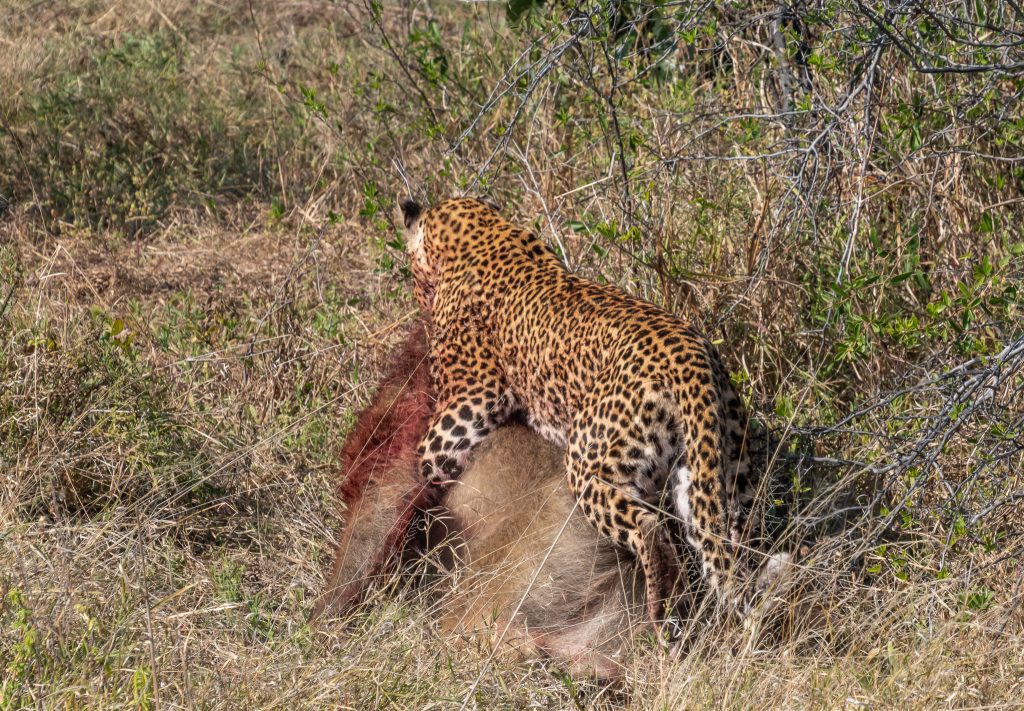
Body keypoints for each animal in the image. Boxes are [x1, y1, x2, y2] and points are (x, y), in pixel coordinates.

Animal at [401, 196, 776, 643]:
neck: (484, 232)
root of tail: (693, 362)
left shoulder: (472, 400)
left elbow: (430, 458)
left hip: (590, 463)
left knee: (648, 528)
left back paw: (663, 614)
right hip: (723, 475)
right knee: (734, 543)